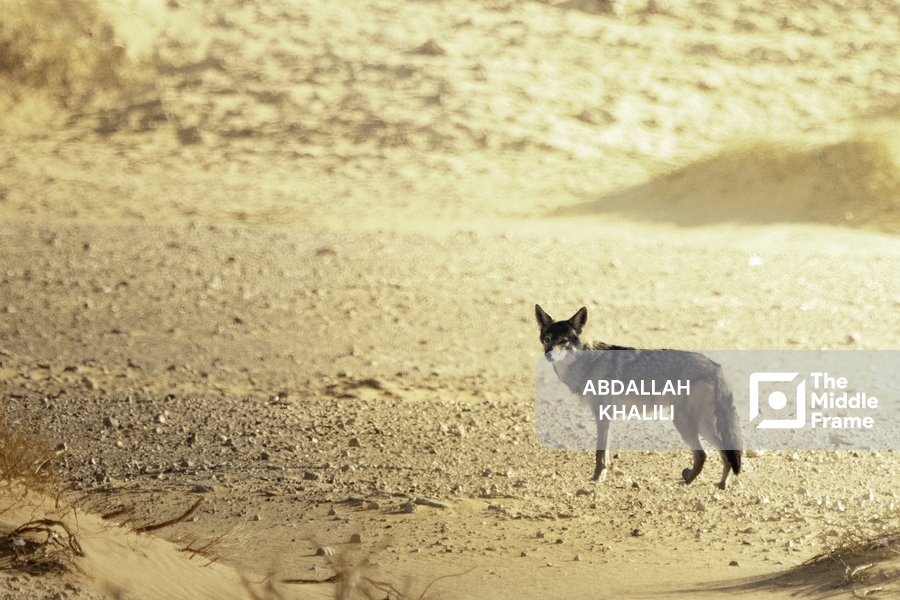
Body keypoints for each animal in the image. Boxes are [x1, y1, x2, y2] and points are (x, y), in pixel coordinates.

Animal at [535, 305, 743, 489]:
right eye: (547, 339)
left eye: (563, 341)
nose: (548, 355)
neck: (588, 364)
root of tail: (716, 367)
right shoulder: (607, 417)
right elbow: (606, 454)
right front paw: (602, 476)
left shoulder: (602, 415)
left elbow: (599, 454)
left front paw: (596, 478)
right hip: (699, 424)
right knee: (725, 453)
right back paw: (722, 484)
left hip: (685, 422)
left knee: (704, 454)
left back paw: (687, 483)